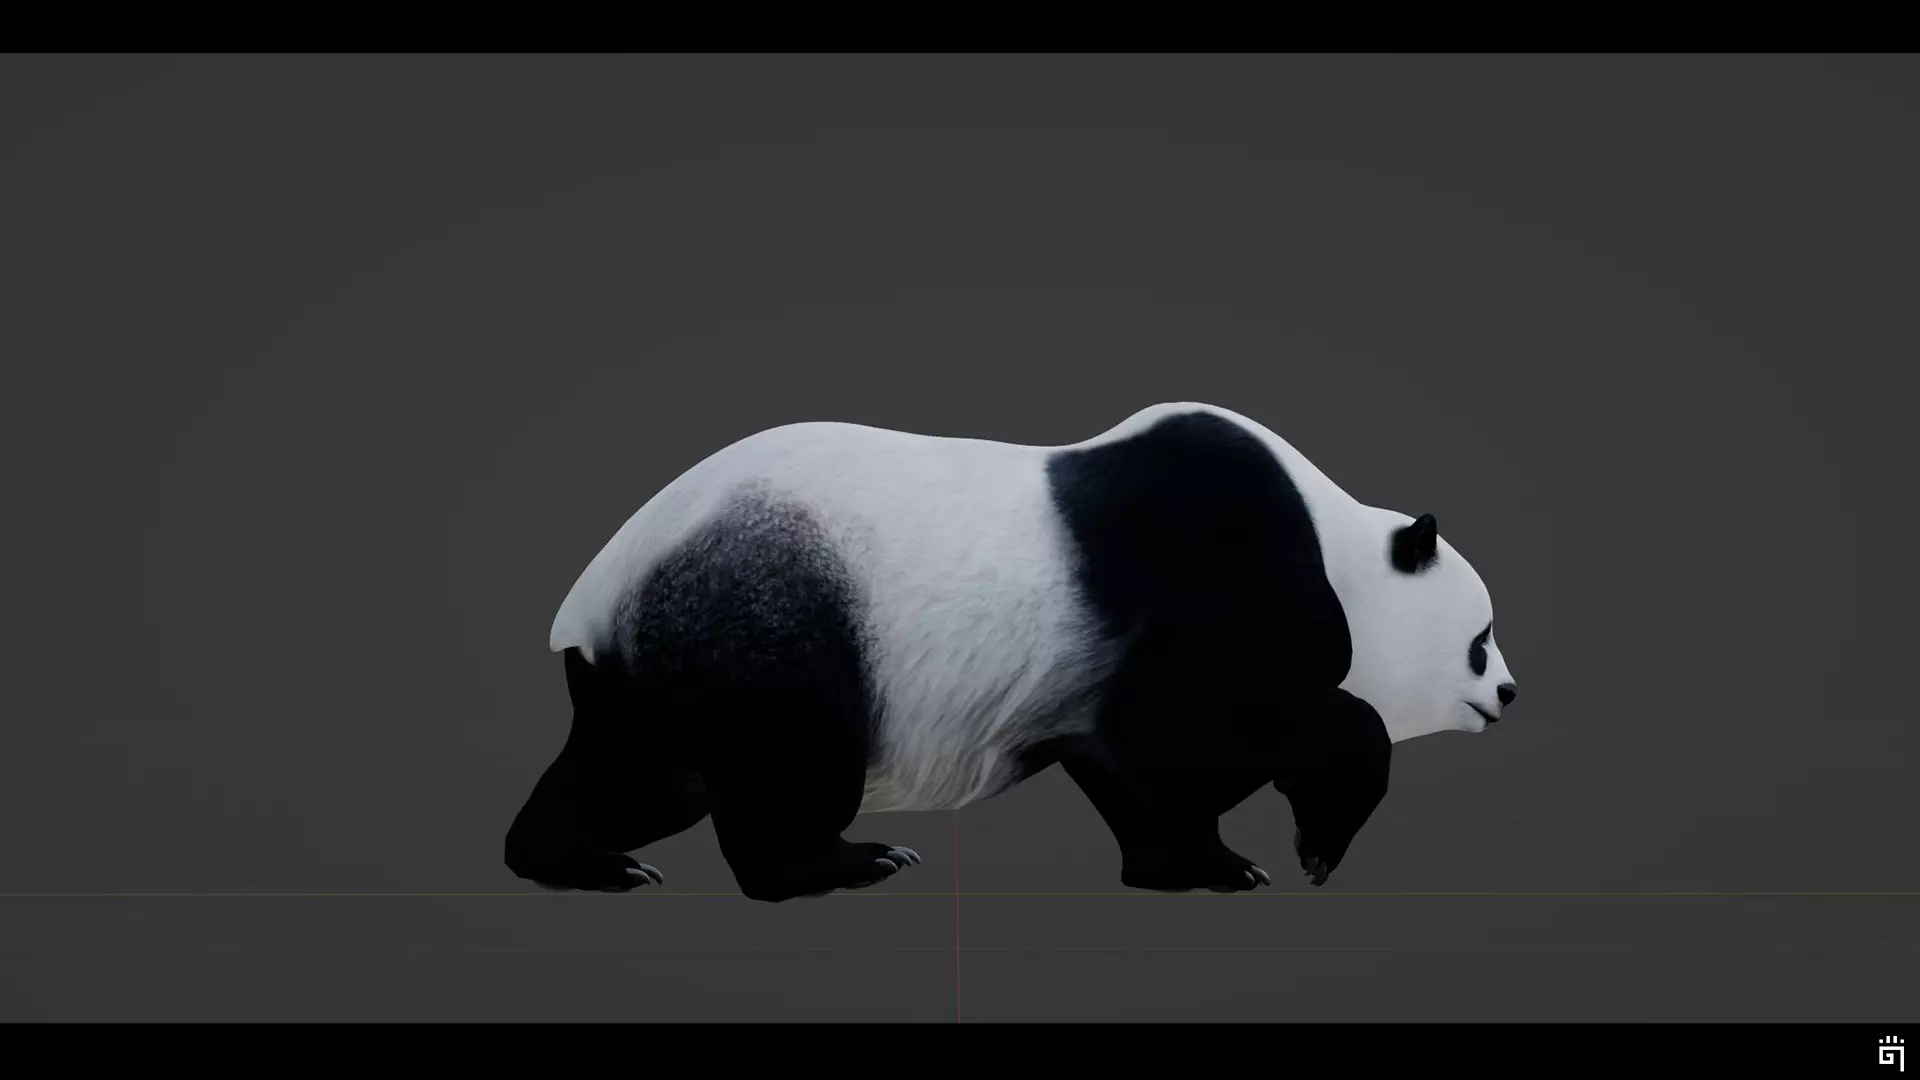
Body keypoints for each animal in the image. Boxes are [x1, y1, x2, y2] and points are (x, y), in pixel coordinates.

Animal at [503, 401, 1518, 903]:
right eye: (1479, 640)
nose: (1510, 694)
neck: (1334, 543)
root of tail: (592, 604)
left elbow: (1127, 765)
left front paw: (1193, 864)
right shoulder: (1212, 572)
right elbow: (1194, 733)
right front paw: (1280, 856)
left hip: (657, 665)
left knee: (638, 772)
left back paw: (580, 862)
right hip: (766, 608)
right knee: (787, 759)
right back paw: (841, 866)